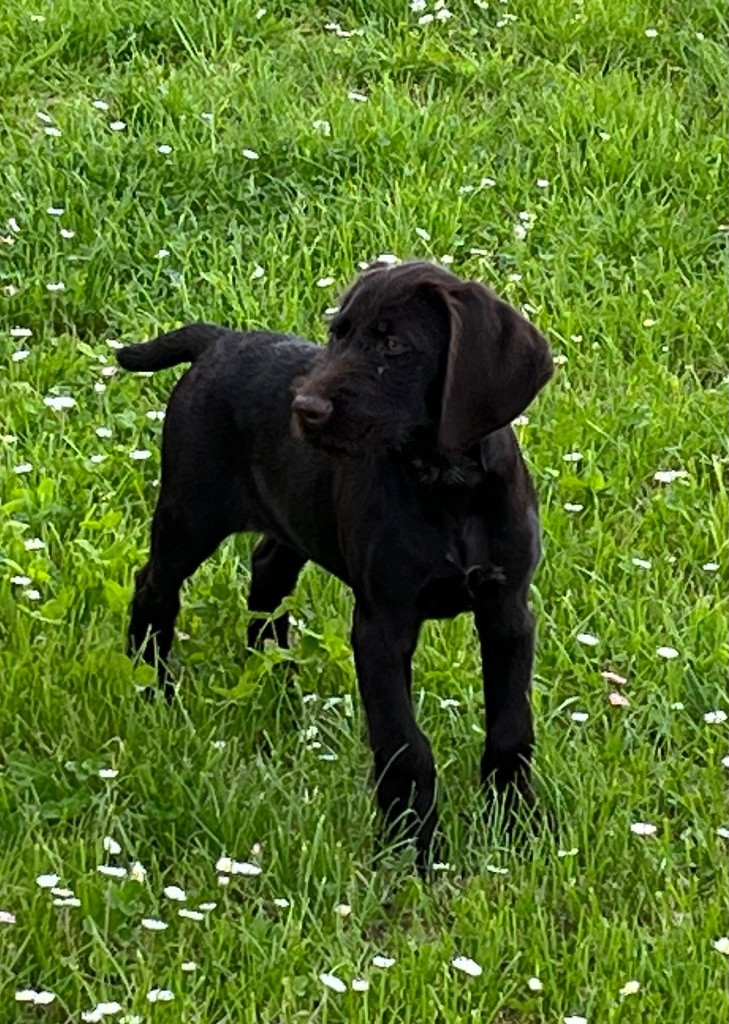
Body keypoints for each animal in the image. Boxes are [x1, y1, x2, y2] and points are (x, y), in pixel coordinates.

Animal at [116, 260, 552, 868]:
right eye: (336, 335)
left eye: (392, 344)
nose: (305, 409)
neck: (448, 487)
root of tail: (219, 340)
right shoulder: (382, 626)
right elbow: (404, 745)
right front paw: (414, 849)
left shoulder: (507, 612)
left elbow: (510, 730)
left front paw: (516, 828)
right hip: (190, 512)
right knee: (155, 586)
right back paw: (152, 684)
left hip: (288, 516)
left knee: (266, 572)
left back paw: (276, 677)